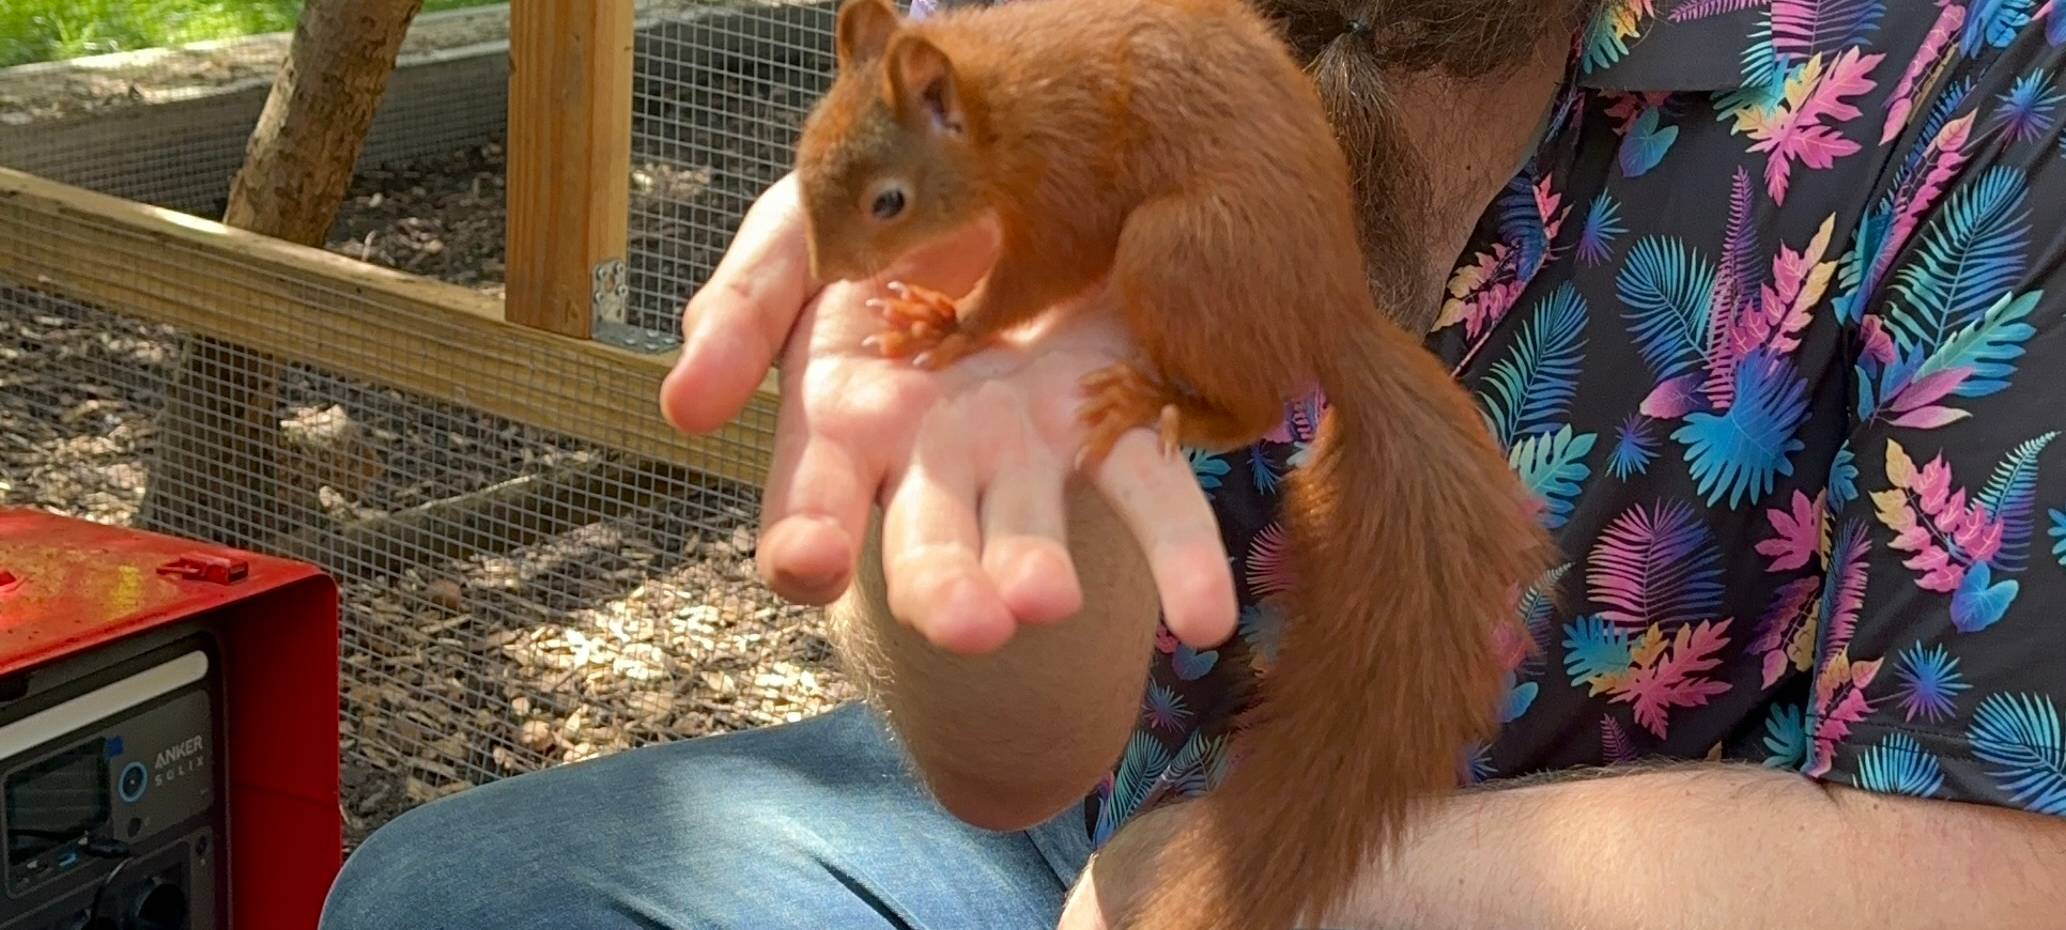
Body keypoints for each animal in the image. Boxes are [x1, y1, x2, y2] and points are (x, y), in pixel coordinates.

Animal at [787, 0, 1557, 927]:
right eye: (804, 152)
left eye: (889, 201)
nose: (825, 271)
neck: (997, 100)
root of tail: (1329, 312)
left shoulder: (1068, 183)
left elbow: (1035, 278)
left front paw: (950, 325)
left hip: (1179, 250)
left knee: (1252, 401)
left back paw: (1156, 401)